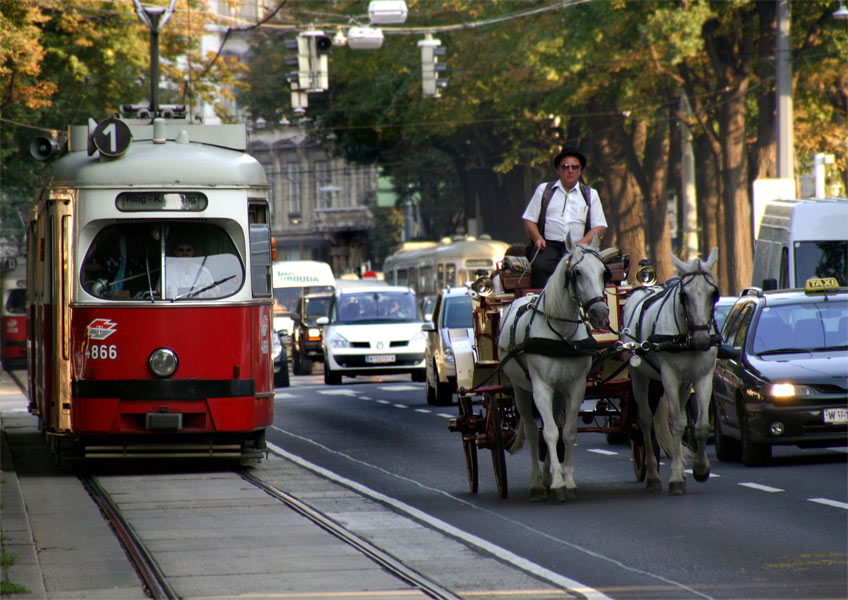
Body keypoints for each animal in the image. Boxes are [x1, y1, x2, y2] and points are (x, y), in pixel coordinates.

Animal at [496, 234, 608, 502]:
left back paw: (547, 475)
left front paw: (567, 480)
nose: (600, 313)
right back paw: (538, 483)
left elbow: (566, 433)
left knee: (555, 426)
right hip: (521, 391)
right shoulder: (541, 388)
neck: (562, 335)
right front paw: (557, 483)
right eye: (577, 272)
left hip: (558, 393)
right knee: (532, 431)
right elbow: (547, 433)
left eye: (603, 272)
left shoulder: (576, 387)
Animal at [620, 251, 720, 494]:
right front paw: (676, 478)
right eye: (684, 295)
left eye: (714, 294)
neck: (685, 338)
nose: (702, 340)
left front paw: (700, 469)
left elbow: (700, 426)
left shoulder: (703, 377)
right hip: (640, 377)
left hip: (682, 384)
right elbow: (676, 424)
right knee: (646, 419)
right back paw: (652, 475)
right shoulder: (670, 378)